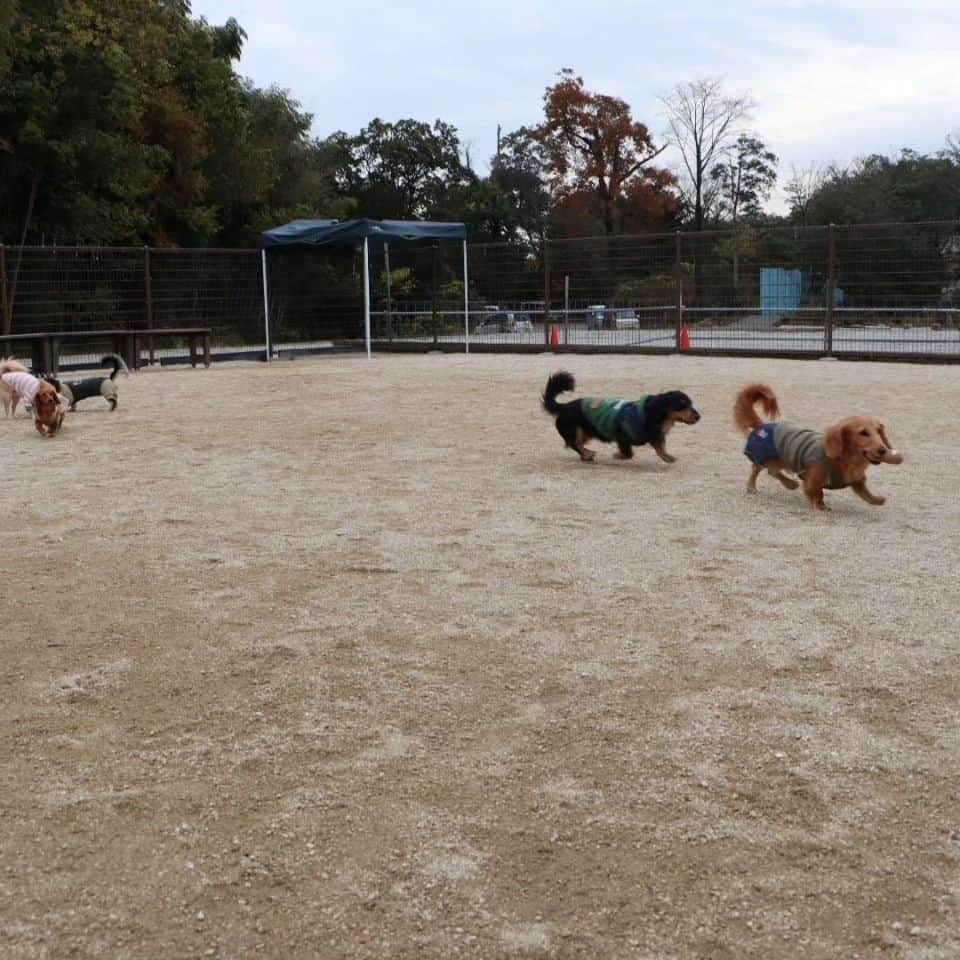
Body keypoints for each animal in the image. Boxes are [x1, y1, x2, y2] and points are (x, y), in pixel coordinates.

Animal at [540, 372, 696, 464]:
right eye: (682, 405)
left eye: (691, 404)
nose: (698, 416)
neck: (649, 413)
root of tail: (564, 406)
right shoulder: (622, 437)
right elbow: (628, 453)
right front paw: (617, 455)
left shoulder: (655, 435)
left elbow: (660, 447)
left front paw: (667, 457)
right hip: (575, 431)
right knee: (574, 444)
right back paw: (588, 454)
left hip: (586, 433)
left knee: (577, 444)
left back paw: (586, 456)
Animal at [736, 380, 900, 510]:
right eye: (863, 433)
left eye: (879, 431)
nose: (883, 450)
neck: (845, 459)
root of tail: (761, 425)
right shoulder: (811, 478)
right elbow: (817, 493)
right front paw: (821, 506)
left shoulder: (856, 480)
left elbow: (864, 492)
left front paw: (876, 499)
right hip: (766, 457)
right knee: (757, 470)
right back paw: (753, 487)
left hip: (779, 459)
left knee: (772, 471)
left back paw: (790, 484)